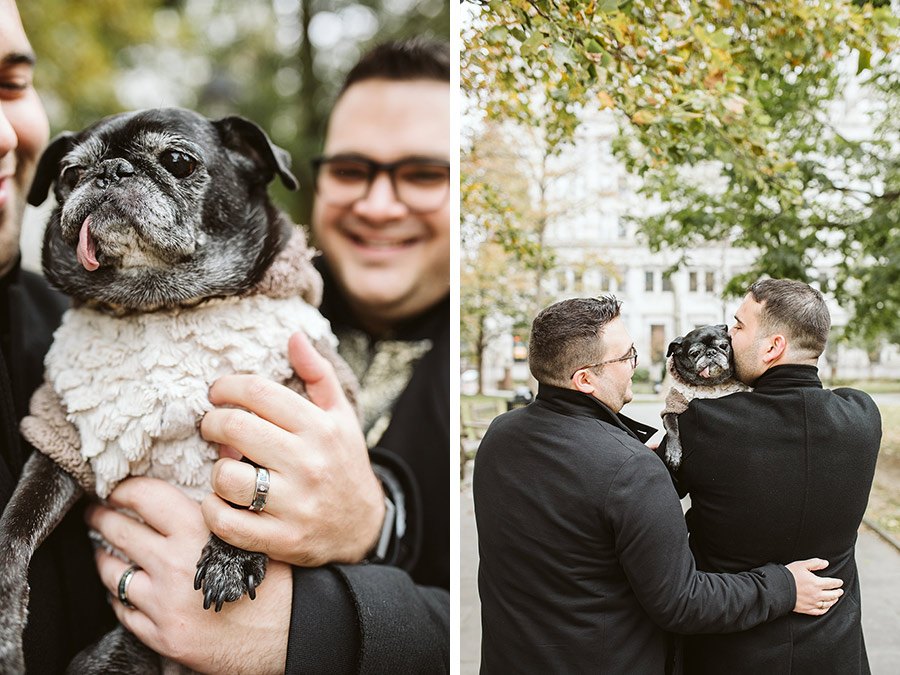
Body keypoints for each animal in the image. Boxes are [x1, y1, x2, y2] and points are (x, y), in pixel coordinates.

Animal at [0, 108, 358, 672]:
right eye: (69, 175)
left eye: (177, 161)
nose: (111, 171)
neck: (158, 305)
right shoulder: (63, 438)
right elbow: (16, 524)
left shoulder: (293, 398)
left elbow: (254, 467)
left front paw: (231, 555)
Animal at [656, 326, 748, 470]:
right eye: (695, 353)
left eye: (723, 346)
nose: (711, 352)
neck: (710, 383)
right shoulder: (672, 409)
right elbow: (672, 429)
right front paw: (674, 453)